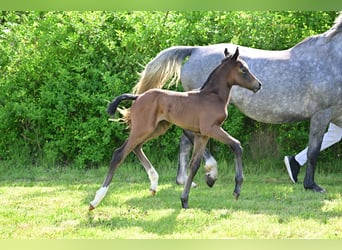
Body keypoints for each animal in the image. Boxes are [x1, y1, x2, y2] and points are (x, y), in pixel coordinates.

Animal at [134, 13, 342, 192]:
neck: (331, 59)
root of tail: (195, 50)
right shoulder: (321, 113)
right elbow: (314, 150)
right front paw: (312, 185)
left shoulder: (336, 116)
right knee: (191, 136)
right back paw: (210, 172)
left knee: (185, 140)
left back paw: (185, 180)